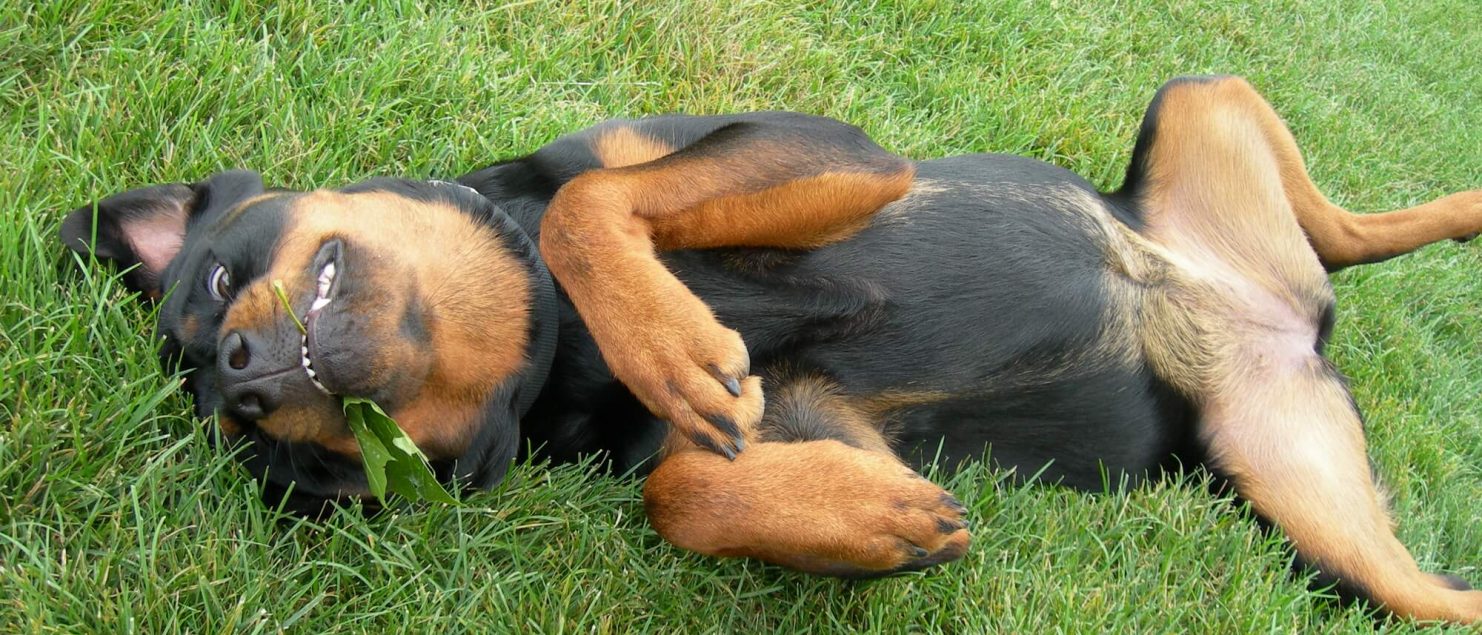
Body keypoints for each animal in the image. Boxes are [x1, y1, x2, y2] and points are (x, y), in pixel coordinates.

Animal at [66, 76, 1482, 623]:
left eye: (216, 273)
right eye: (281, 465)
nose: (239, 372)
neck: (546, 349)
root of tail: (1283, 318)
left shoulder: (830, 152)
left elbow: (591, 203)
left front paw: (668, 334)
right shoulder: (812, 413)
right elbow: (687, 487)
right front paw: (868, 522)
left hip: (1198, 103)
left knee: (1347, 226)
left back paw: (1465, 208)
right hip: (1318, 511)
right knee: (1439, 583)